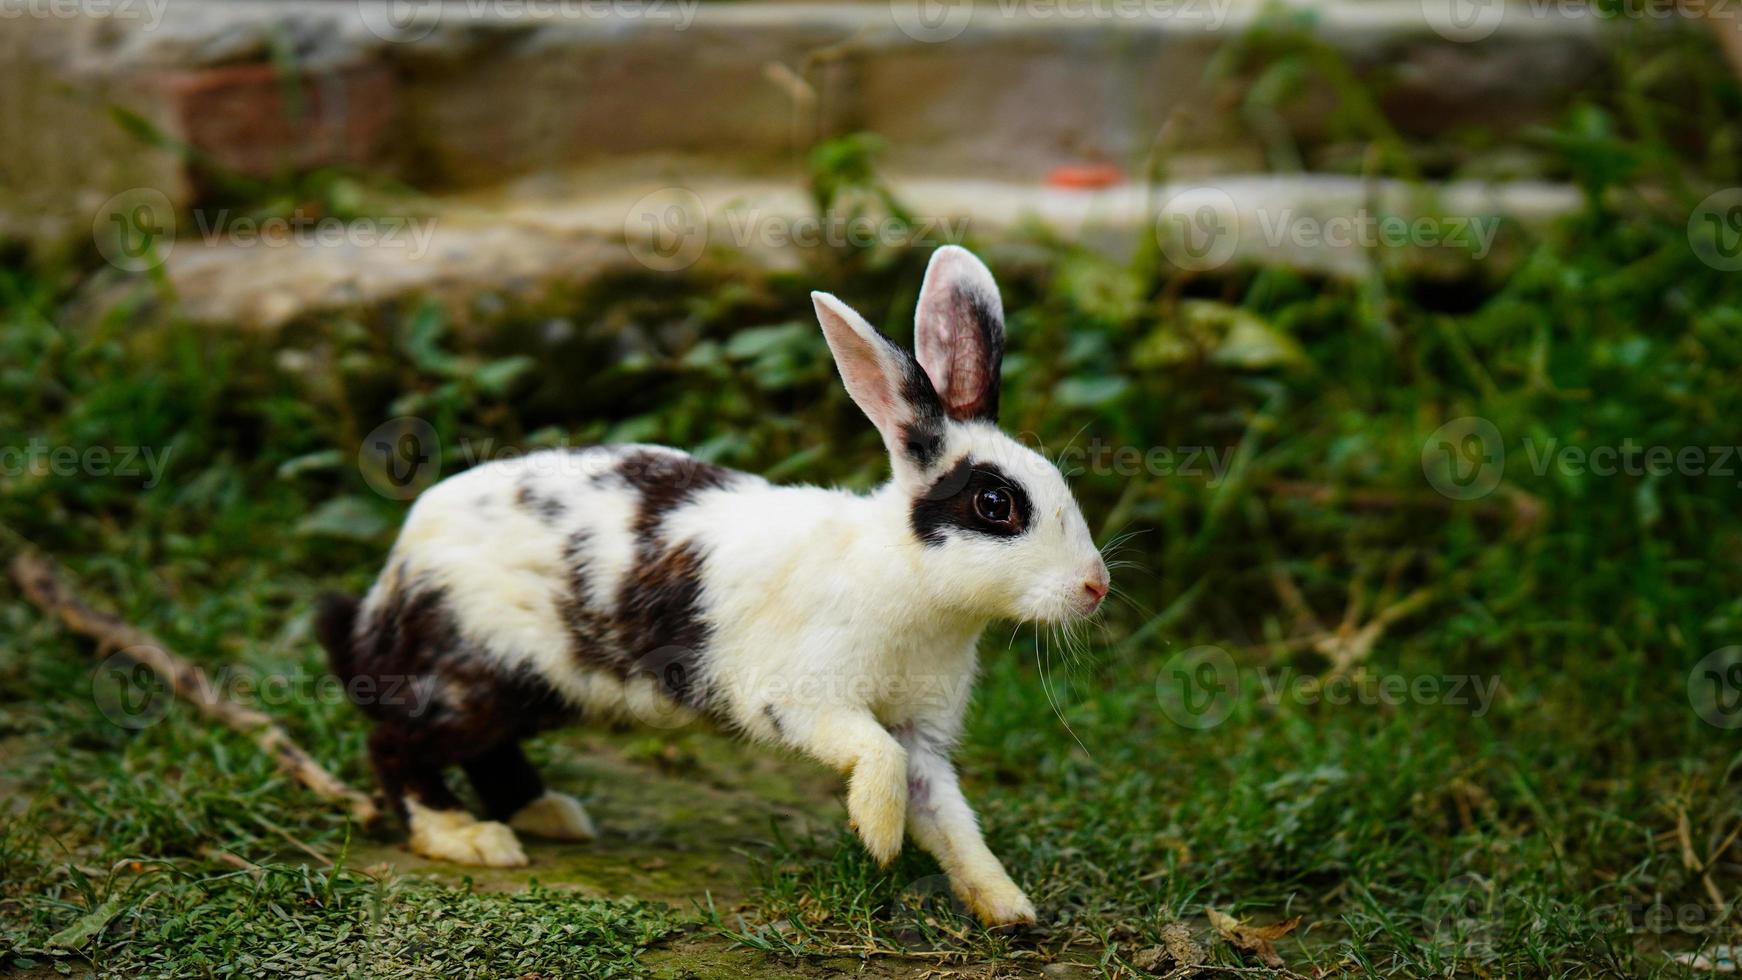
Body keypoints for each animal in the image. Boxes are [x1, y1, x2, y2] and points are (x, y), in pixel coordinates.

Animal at [315, 245, 1107, 926]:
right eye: (996, 505)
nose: (1095, 586)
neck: (904, 574)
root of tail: (397, 569)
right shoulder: (800, 699)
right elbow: (874, 757)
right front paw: (877, 836)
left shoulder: (923, 734)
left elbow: (948, 816)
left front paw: (1006, 907)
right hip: (476, 676)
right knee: (399, 743)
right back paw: (468, 837)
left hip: (533, 690)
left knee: (483, 749)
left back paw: (549, 816)